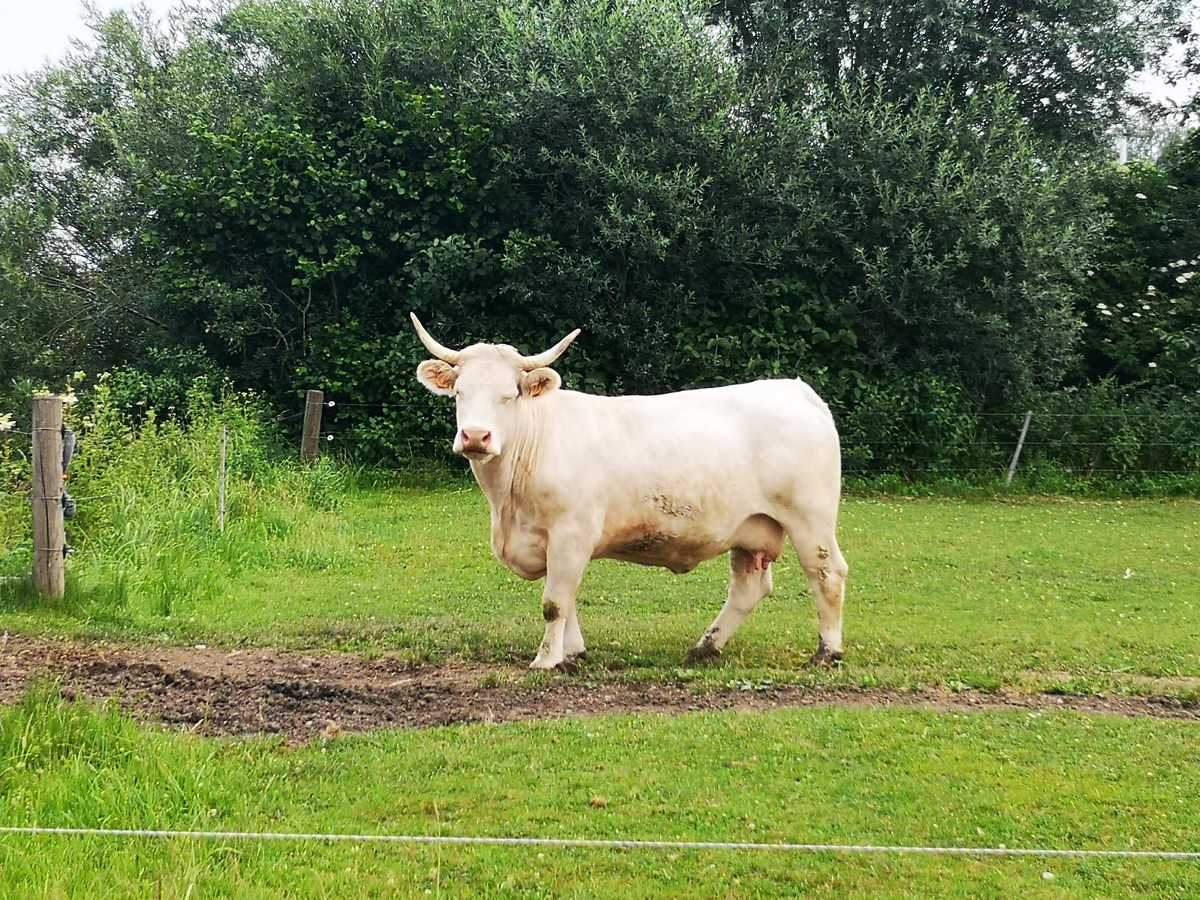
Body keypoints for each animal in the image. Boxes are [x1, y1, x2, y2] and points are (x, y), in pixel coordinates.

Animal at [411, 313, 849, 672]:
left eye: (510, 394)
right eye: (460, 393)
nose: (476, 436)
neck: (508, 502)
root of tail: (795, 390)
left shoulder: (571, 533)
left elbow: (554, 603)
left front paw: (546, 660)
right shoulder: (551, 541)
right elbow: (568, 599)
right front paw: (573, 653)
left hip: (811, 519)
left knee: (827, 573)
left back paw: (827, 653)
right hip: (751, 528)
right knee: (749, 588)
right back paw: (704, 648)